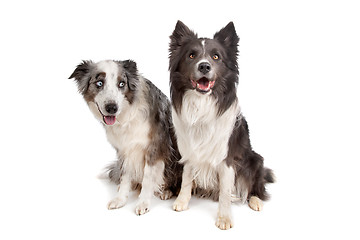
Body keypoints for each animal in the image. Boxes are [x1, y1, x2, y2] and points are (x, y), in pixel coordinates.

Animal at [68, 60, 180, 216]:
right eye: (99, 83)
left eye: (121, 84)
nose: (112, 108)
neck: (127, 116)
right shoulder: (124, 150)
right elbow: (125, 176)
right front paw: (120, 199)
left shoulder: (155, 148)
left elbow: (148, 179)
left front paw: (143, 203)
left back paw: (165, 191)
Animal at [170, 21, 274, 230]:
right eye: (191, 55)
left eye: (216, 56)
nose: (204, 66)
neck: (202, 104)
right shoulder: (189, 151)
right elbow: (186, 178)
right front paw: (182, 201)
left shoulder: (227, 158)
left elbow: (225, 191)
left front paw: (224, 218)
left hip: (255, 159)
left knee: (256, 186)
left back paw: (256, 200)